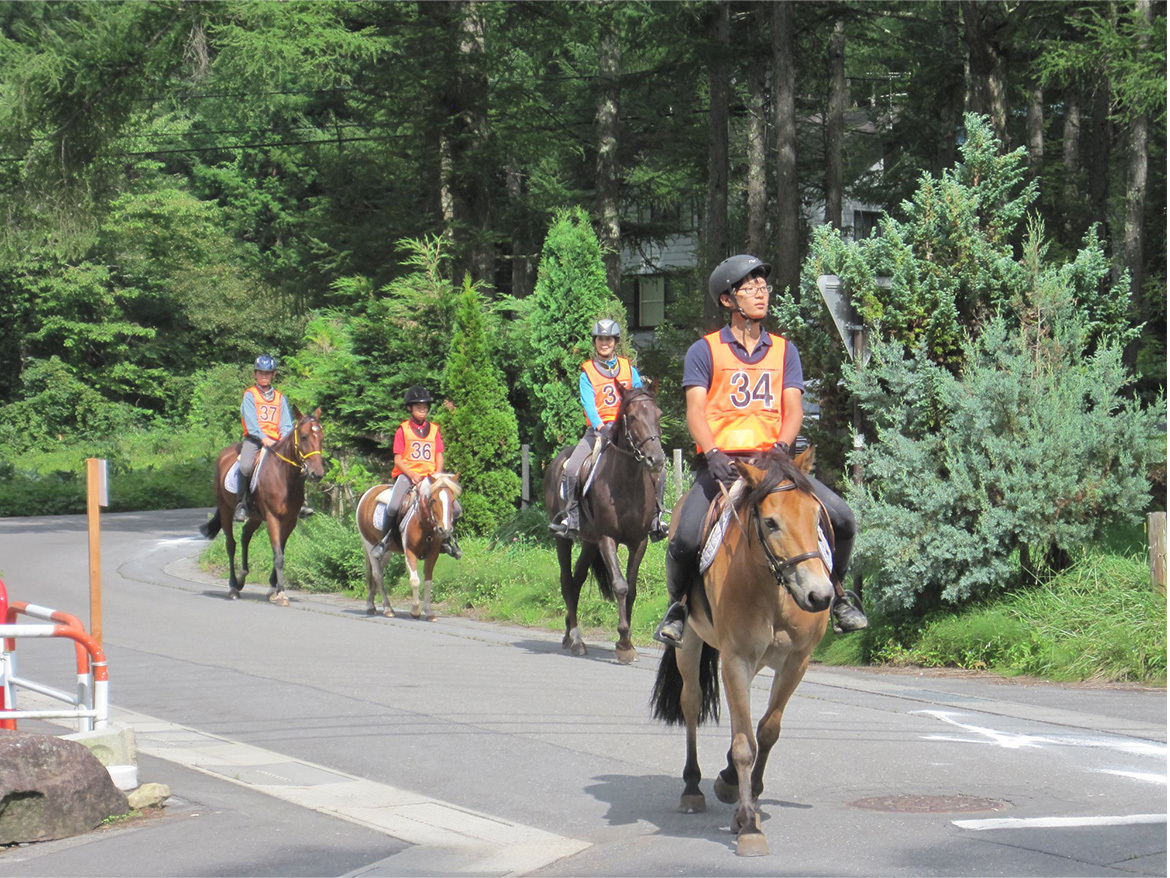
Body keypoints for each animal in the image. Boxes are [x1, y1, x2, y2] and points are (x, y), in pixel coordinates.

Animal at [197, 407, 322, 604]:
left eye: (321, 437)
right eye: (304, 437)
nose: (317, 473)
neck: (283, 476)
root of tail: (224, 454)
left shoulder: (290, 521)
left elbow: (280, 551)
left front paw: (273, 589)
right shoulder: (272, 518)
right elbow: (278, 556)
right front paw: (281, 593)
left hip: (255, 516)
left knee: (245, 536)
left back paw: (242, 578)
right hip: (226, 509)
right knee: (231, 544)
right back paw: (233, 587)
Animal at [355, 470, 460, 622]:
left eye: (452, 501)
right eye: (433, 500)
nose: (445, 530)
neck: (423, 523)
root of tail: (368, 493)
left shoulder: (433, 554)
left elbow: (428, 582)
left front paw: (429, 612)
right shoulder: (410, 552)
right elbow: (415, 581)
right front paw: (415, 611)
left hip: (386, 552)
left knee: (376, 574)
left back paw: (371, 605)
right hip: (370, 546)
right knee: (377, 575)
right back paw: (387, 609)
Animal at [540, 381, 664, 664]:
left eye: (658, 415)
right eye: (633, 417)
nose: (656, 460)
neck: (627, 480)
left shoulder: (639, 541)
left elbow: (631, 589)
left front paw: (627, 642)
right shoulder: (608, 538)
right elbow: (620, 585)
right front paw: (624, 644)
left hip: (589, 543)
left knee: (577, 580)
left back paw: (569, 634)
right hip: (563, 539)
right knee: (567, 581)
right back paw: (576, 640)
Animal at [650, 454, 833, 861]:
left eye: (817, 516)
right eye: (771, 522)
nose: (820, 595)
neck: (774, 591)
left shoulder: (796, 662)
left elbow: (765, 730)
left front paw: (744, 793)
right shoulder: (735, 660)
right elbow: (745, 745)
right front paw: (749, 826)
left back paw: (729, 781)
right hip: (692, 645)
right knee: (691, 704)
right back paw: (693, 788)